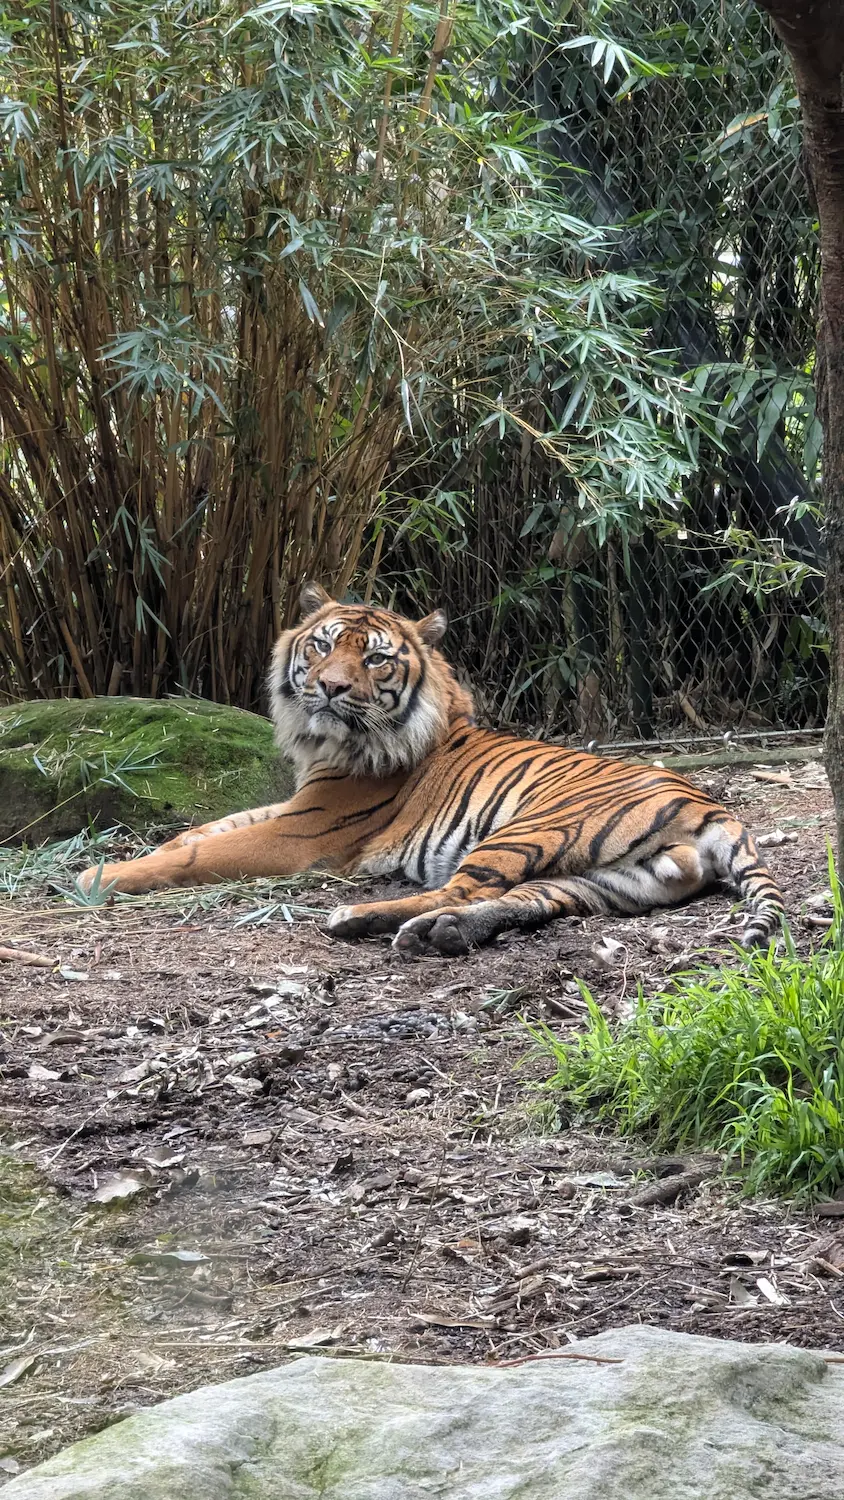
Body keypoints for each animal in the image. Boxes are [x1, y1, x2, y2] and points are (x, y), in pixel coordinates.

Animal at [79, 582, 785, 955]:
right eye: (323, 644)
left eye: (376, 659)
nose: (331, 688)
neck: (327, 744)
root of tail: (712, 806)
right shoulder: (292, 804)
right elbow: (200, 831)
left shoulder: (304, 830)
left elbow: (202, 853)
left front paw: (97, 875)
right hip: (614, 880)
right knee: (520, 901)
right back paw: (432, 931)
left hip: (533, 828)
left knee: (463, 888)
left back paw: (362, 919)